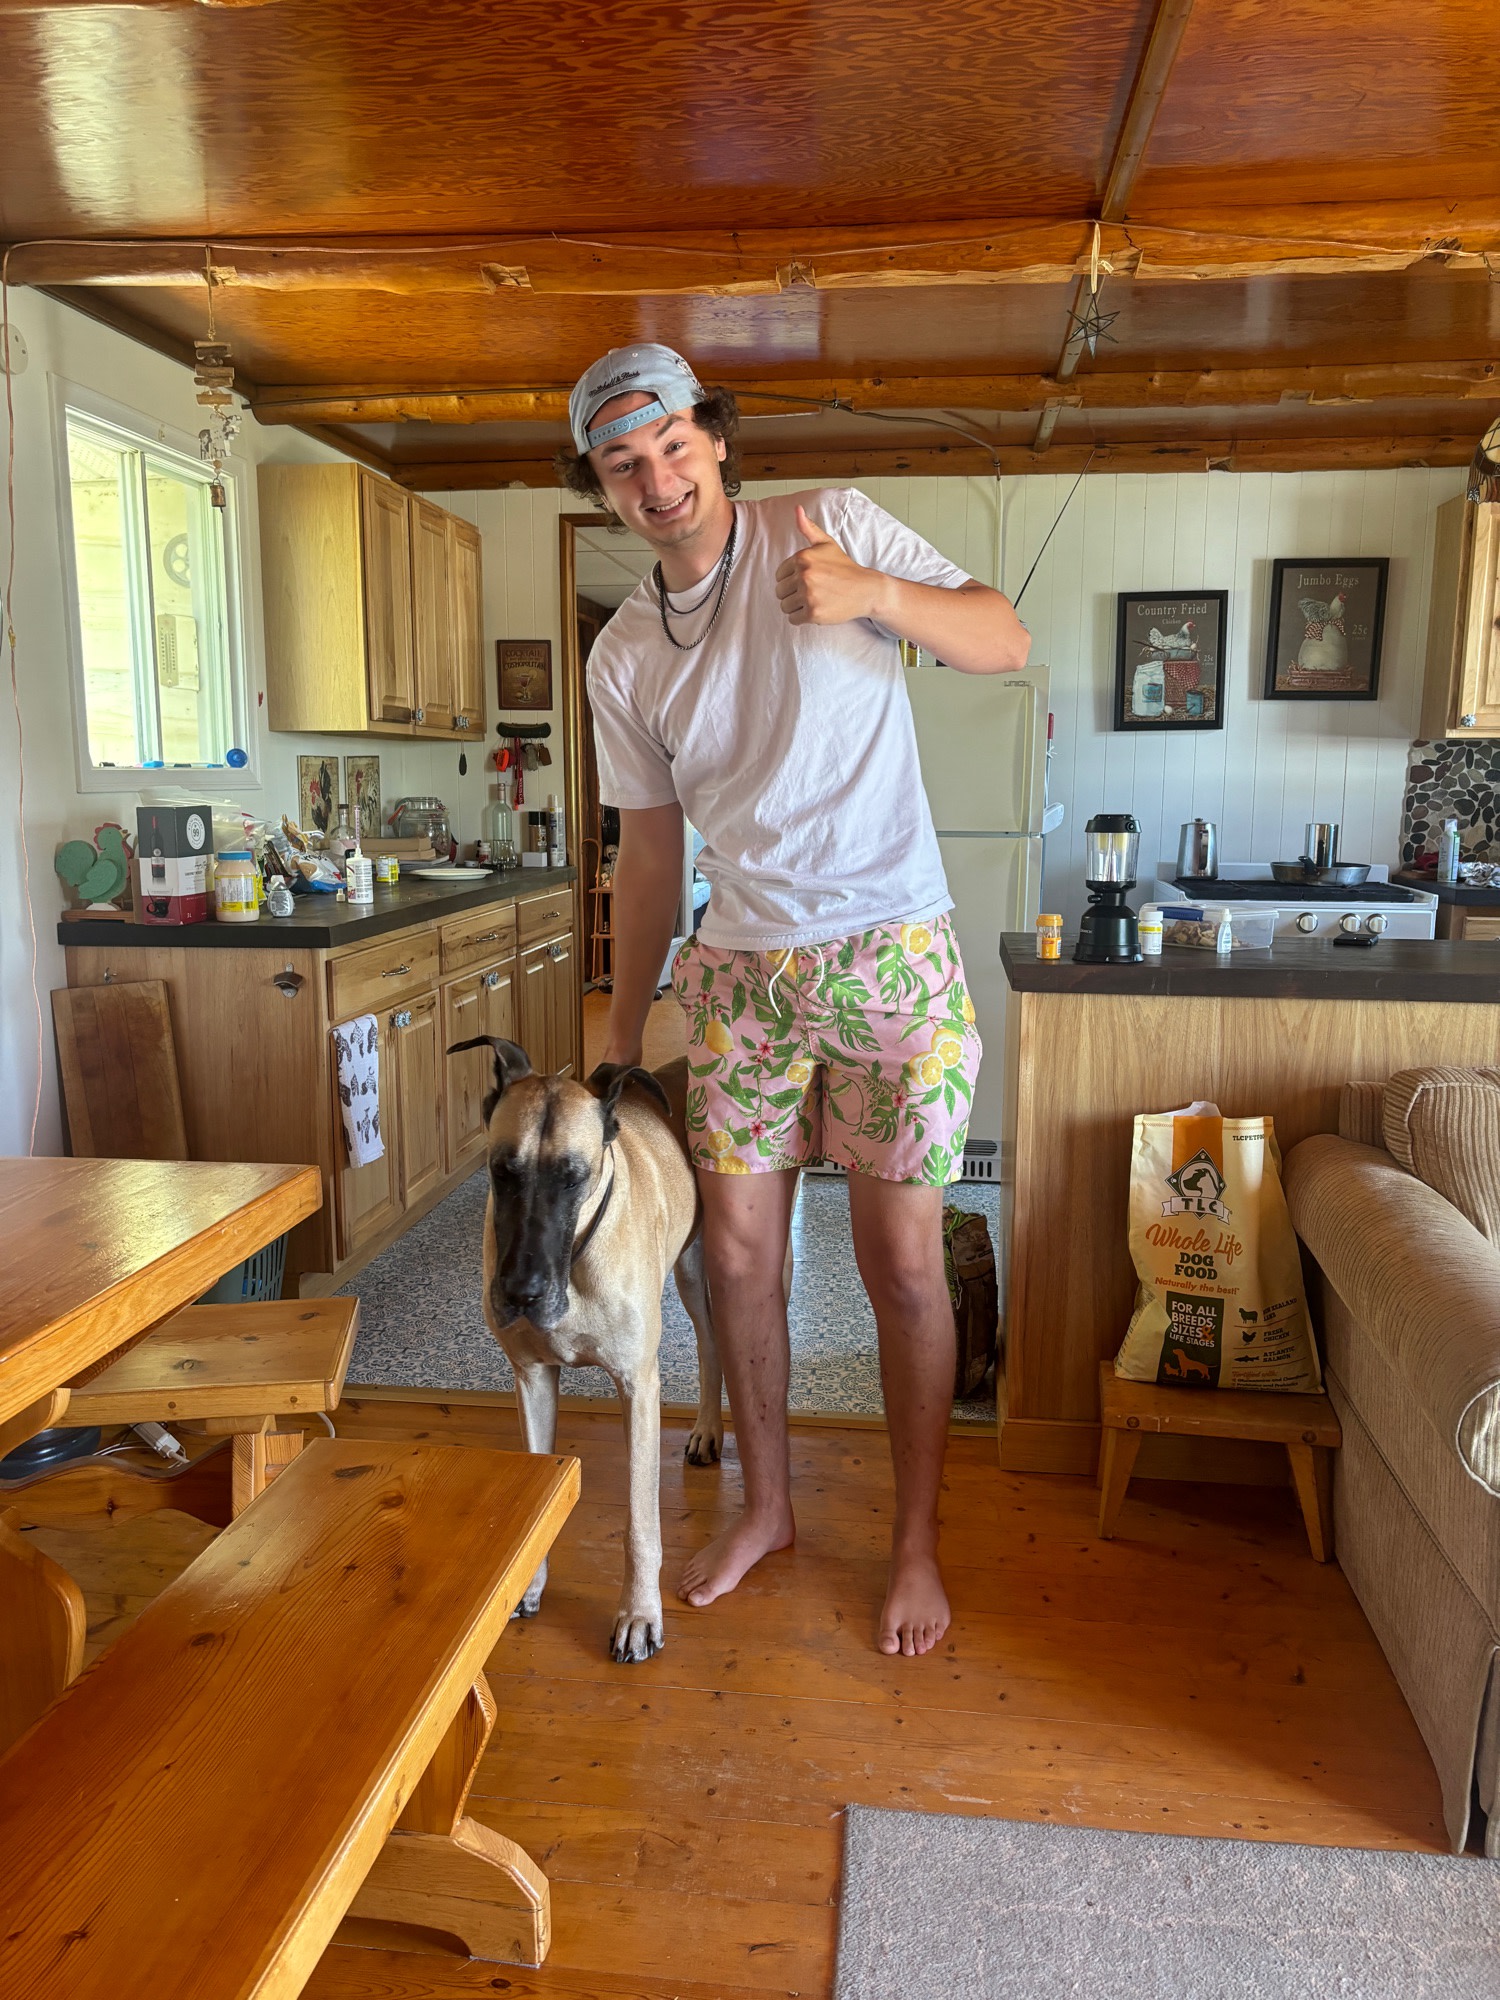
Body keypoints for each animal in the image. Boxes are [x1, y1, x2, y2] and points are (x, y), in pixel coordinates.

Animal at [449, 1037, 722, 1663]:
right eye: (501, 1171)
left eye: (573, 1177)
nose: (519, 1292)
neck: (573, 1261)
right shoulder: (531, 1378)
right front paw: (527, 1581)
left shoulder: (638, 1387)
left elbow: (640, 1521)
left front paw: (640, 1615)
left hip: (700, 1271)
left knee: (713, 1346)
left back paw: (709, 1427)